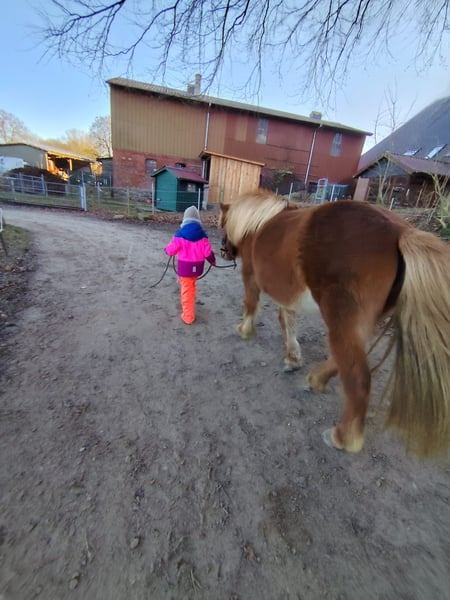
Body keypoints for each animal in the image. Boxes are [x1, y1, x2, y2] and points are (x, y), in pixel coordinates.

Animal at [219, 189, 450, 458]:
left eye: (223, 222)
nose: (223, 250)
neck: (257, 224)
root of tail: (401, 232)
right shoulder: (288, 295)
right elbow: (287, 321)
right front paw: (293, 358)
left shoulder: (250, 276)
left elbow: (250, 304)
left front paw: (245, 330)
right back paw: (316, 379)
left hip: (341, 317)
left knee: (357, 376)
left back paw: (343, 437)